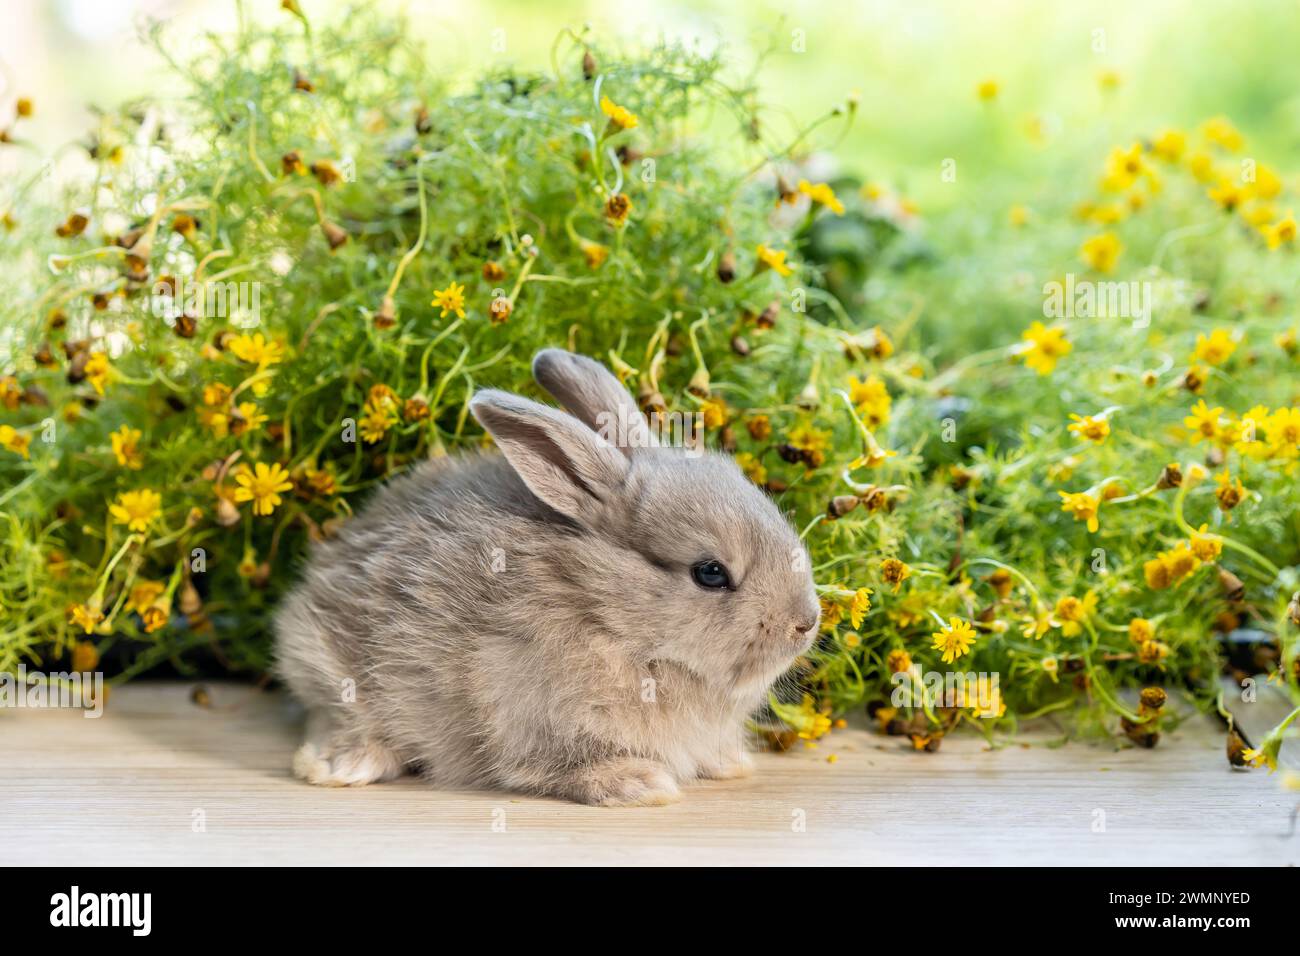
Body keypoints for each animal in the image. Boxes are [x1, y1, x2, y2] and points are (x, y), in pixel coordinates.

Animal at [273, 348, 820, 806]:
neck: (610, 615)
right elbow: (560, 765)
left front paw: (731, 764)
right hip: (327, 662)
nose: (806, 622)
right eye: (710, 573)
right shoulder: (519, 705)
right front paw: (640, 784)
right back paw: (341, 765)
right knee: (332, 714)